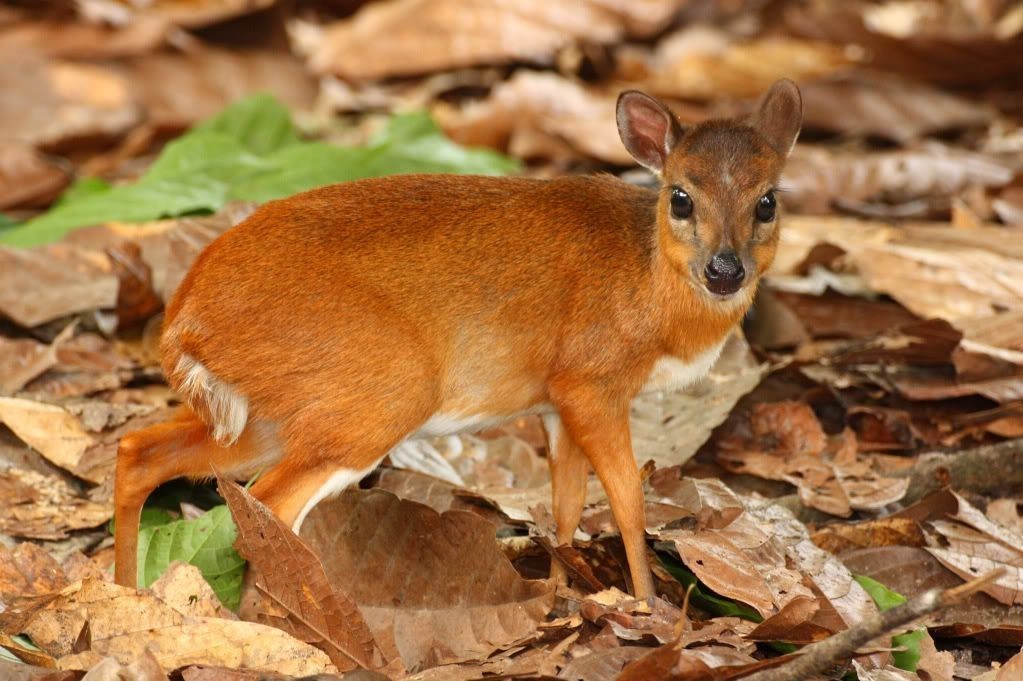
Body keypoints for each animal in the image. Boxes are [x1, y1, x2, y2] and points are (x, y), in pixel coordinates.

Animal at [112, 80, 797, 601]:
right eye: (681, 197)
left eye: (767, 203)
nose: (725, 270)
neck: (647, 279)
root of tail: (185, 316)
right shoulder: (589, 379)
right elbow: (628, 500)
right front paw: (648, 604)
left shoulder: (554, 402)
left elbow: (566, 505)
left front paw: (561, 595)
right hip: (378, 391)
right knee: (269, 505)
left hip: (276, 411)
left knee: (140, 451)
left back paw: (127, 591)